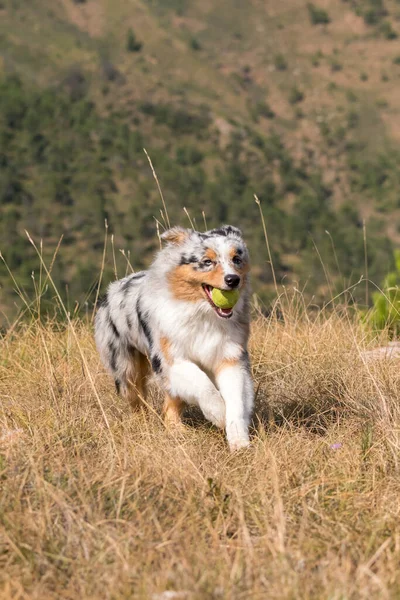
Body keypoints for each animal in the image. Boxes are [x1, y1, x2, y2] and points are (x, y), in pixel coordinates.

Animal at [94, 225, 253, 450]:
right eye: (207, 261)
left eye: (236, 259)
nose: (233, 279)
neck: (203, 314)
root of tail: (113, 288)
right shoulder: (170, 359)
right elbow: (203, 384)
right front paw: (218, 414)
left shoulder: (230, 357)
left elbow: (236, 400)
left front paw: (239, 441)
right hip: (125, 366)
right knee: (136, 399)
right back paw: (143, 425)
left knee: (171, 402)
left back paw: (177, 430)